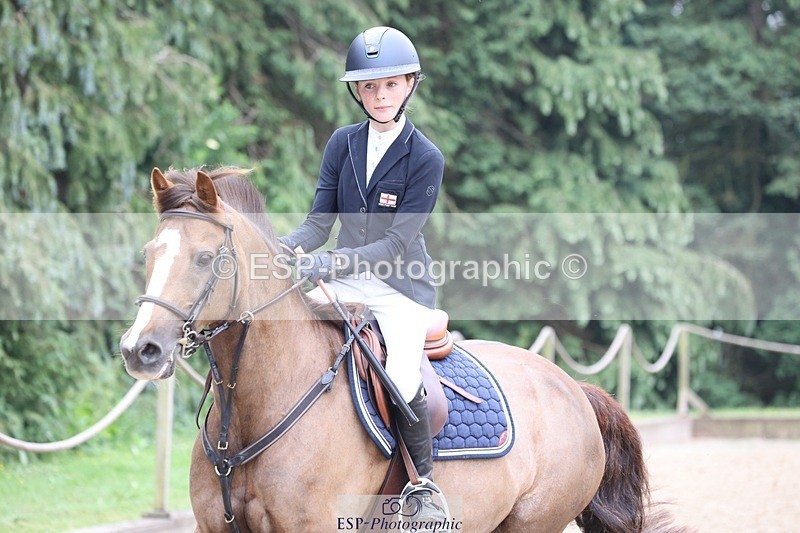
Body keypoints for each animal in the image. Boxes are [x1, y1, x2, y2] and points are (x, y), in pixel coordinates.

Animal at [120, 167, 684, 533]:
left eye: (205, 257)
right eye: (148, 254)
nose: (139, 349)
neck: (253, 410)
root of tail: (572, 387)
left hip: (535, 522)